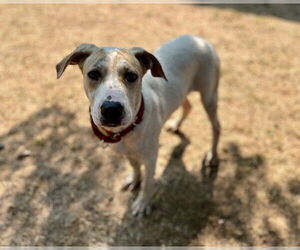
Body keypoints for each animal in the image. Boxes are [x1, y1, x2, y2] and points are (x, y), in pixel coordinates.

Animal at [56, 34, 220, 217]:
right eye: (93, 74)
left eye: (132, 76)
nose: (112, 109)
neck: (126, 131)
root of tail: (197, 38)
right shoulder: (127, 152)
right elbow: (134, 166)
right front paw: (134, 180)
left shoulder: (151, 157)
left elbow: (148, 183)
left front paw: (142, 203)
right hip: (183, 91)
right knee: (188, 106)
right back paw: (176, 125)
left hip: (209, 97)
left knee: (216, 127)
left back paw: (212, 156)